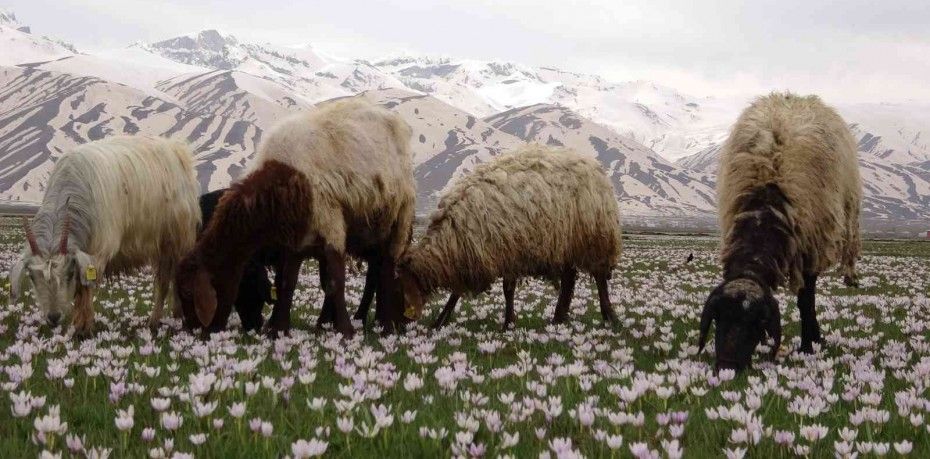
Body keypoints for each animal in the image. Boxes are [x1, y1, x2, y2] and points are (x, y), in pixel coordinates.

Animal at [8, 135, 201, 336]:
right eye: (31, 276)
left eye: (69, 273)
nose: (53, 317)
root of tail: (177, 148)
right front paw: (80, 325)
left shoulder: (97, 253)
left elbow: (84, 289)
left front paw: (83, 328)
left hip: (175, 240)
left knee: (169, 279)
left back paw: (162, 320)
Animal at [176, 99, 416, 338]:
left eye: (188, 293)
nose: (192, 331)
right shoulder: (297, 238)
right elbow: (286, 282)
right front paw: (279, 329)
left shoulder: (330, 221)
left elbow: (335, 281)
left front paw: (344, 331)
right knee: (378, 270)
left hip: (399, 218)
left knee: (387, 271)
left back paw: (387, 326)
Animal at [396, 146, 620, 328]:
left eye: (401, 287)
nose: (401, 323)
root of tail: (593, 165)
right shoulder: (470, 255)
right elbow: (456, 293)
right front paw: (440, 321)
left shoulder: (507, 252)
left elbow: (507, 290)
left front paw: (508, 324)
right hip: (564, 243)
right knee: (568, 280)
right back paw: (558, 318)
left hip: (594, 238)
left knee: (599, 278)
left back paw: (609, 317)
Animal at [696, 92, 864, 370]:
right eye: (719, 317)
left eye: (758, 321)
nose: (728, 367)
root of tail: (795, 96)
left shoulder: (809, 248)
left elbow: (806, 300)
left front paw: (808, 346)